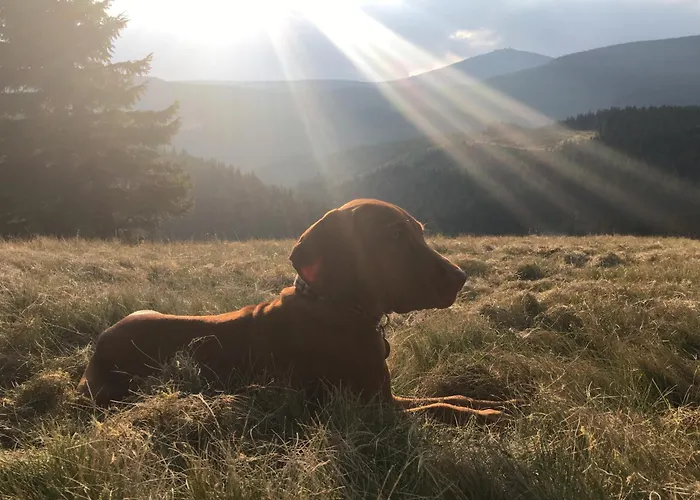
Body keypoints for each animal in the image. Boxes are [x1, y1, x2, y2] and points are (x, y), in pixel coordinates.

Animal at [78, 199, 516, 422]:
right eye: (393, 235)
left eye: (420, 232)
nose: (461, 276)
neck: (339, 308)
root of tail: (96, 352)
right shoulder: (373, 406)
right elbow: (440, 405)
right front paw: (490, 414)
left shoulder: (386, 394)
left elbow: (451, 396)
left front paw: (496, 402)